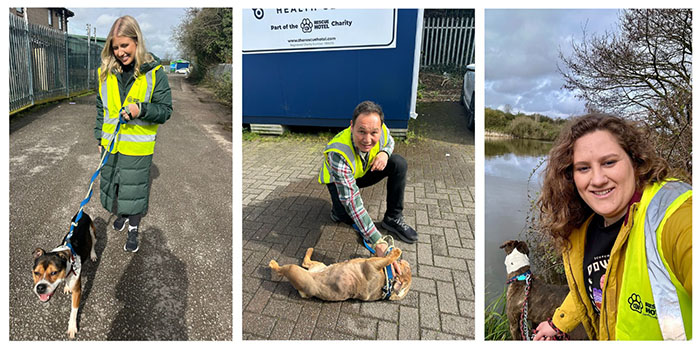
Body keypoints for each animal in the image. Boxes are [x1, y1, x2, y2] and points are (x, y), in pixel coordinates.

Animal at [268, 246, 410, 300]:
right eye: (407, 268)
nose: (406, 262)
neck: (388, 283)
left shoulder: (372, 264)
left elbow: (386, 259)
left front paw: (395, 253)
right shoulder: (372, 262)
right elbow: (382, 257)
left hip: (295, 271)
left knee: (282, 270)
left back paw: (273, 264)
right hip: (319, 265)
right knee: (306, 262)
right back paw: (310, 250)